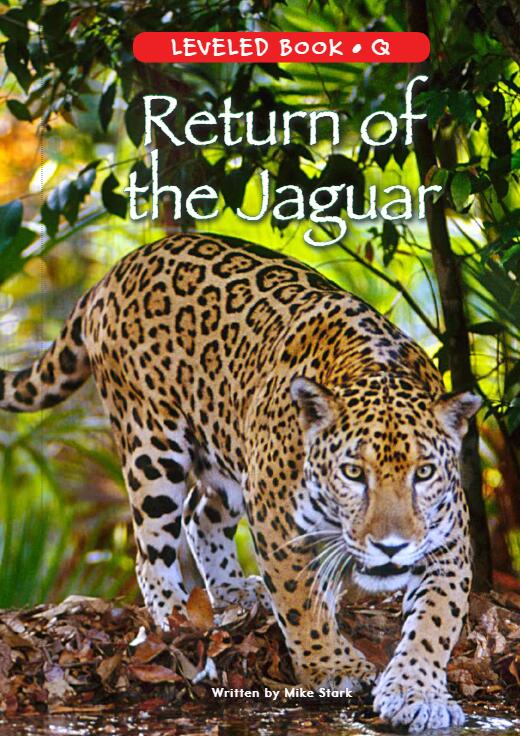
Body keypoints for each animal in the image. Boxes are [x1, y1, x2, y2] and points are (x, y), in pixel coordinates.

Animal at [0, 232, 480, 732]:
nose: (391, 546)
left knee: (200, 515)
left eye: (423, 473)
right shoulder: (275, 518)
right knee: (151, 553)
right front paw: (333, 665)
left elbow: (436, 619)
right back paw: (178, 618)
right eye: (353, 472)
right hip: (152, 445)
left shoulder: (449, 540)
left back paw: (232, 591)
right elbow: (301, 601)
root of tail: (115, 271)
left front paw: (415, 691)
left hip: (226, 451)